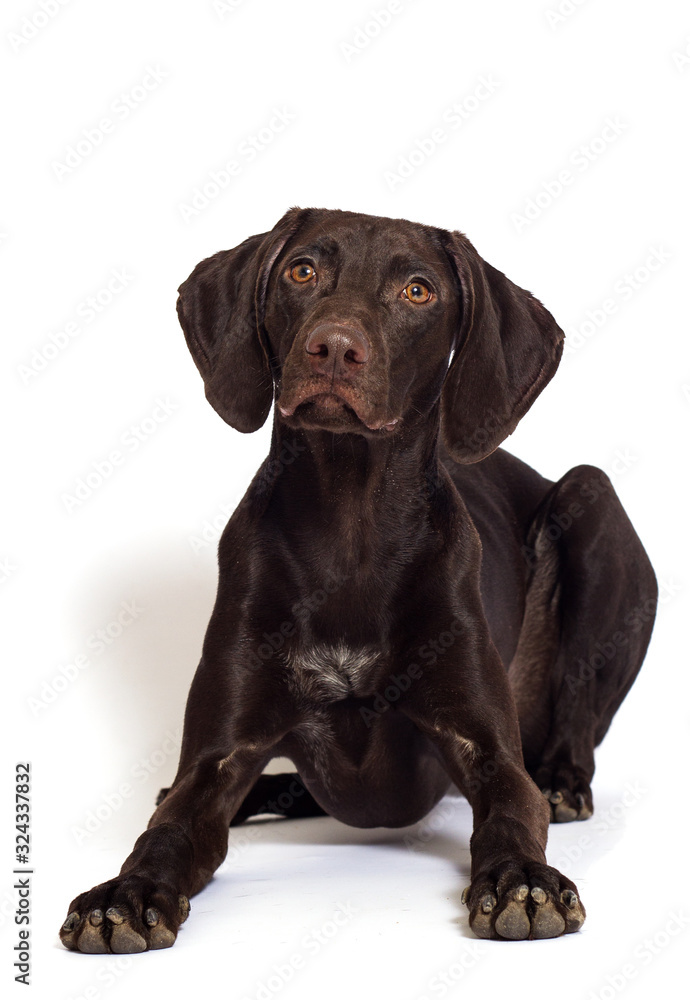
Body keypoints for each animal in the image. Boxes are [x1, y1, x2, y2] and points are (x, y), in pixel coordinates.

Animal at [60, 207, 656, 948]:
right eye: (301, 270)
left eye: (418, 291)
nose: (334, 348)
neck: (349, 535)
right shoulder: (220, 757)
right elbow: (167, 831)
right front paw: (130, 890)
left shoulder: (488, 750)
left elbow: (510, 814)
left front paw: (522, 879)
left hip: (590, 498)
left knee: (576, 707)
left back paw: (564, 781)